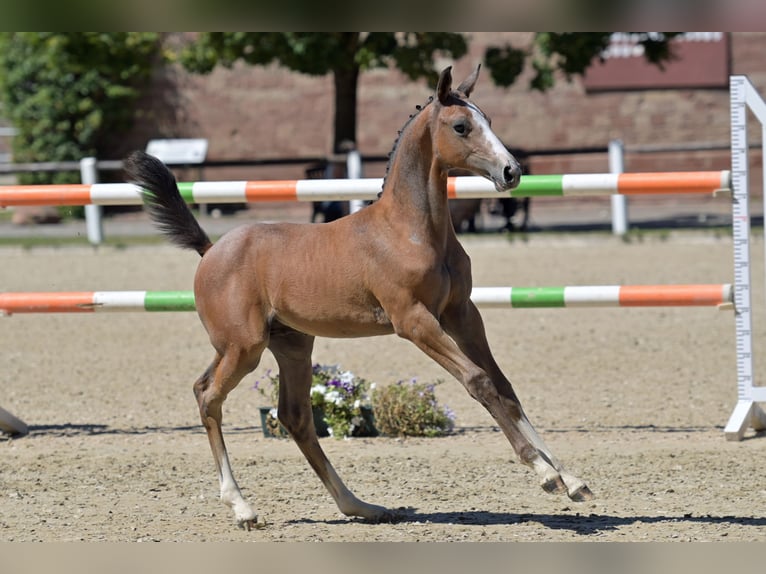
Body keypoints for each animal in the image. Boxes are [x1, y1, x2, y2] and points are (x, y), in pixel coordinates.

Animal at [124, 66, 592, 530]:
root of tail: (210, 250)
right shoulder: (414, 321)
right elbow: (479, 381)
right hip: (244, 347)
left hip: (290, 345)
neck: (409, 230)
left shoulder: (462, 314)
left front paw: (571, 480)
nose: (512, 171)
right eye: (461, 126)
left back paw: (360, 506)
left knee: (294, 416)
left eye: (489, 120)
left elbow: (503, 385)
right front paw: (545, 474)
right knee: (209, 397)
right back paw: (242, 507)